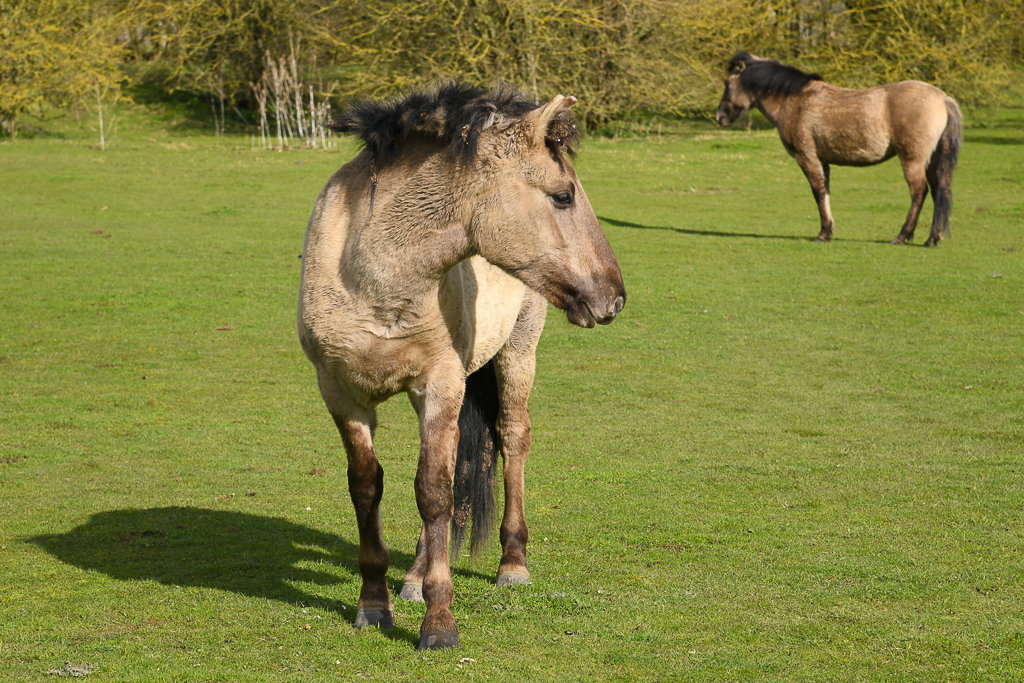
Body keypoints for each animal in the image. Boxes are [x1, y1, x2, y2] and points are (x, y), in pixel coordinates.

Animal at [296, 82, 622, 651]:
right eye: (562, 196)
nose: (615, 296)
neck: (375, 280)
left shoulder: (439, 385)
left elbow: (433, 492)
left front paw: (439, 621)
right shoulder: (341, 393)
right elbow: (368, 487)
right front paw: (373, 604)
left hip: (517, 352)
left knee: (510, 439)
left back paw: (511, 564)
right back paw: (411, 578)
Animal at [712, 52, 958, 246]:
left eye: (727, 83)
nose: (719, 117)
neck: (794, 101)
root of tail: (943, 98)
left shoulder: (806, 157)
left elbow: (818, 192)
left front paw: (823, 234)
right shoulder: (823, 161)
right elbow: (826, 192)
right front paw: (828, 230)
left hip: (912, 160)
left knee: (919, 192)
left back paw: (902, 236)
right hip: (933, 160)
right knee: (939, 191)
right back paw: (932, 238)